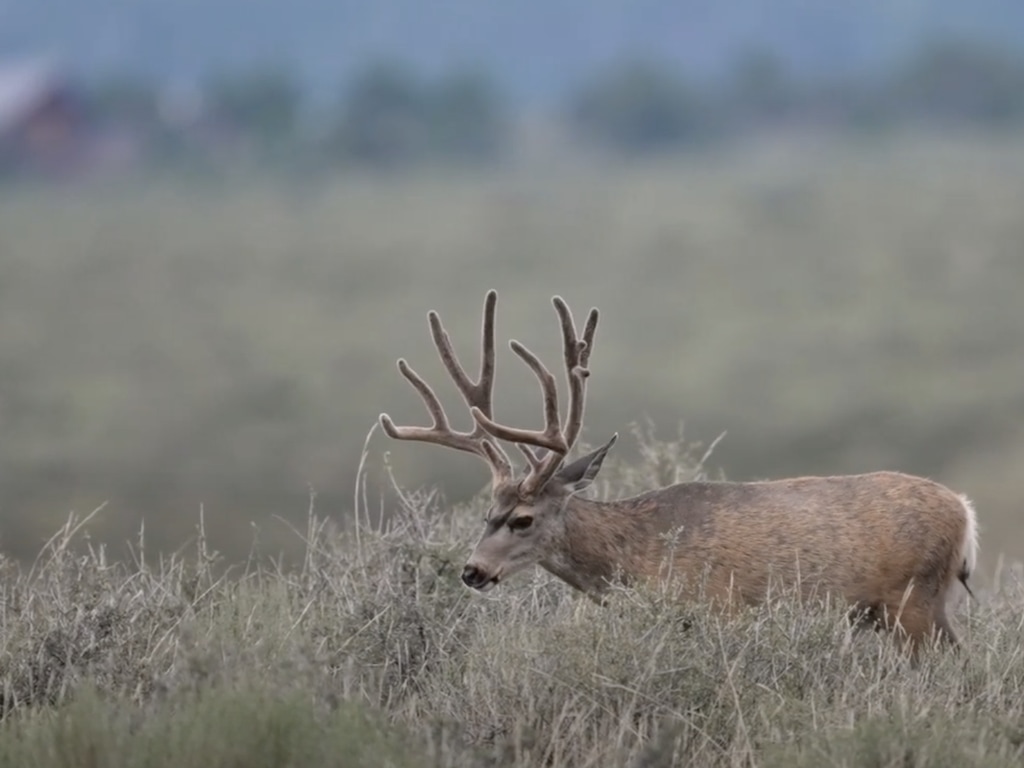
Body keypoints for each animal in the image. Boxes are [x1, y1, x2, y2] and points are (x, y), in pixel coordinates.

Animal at [379, 290, 980, 653]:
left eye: (523, 518)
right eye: (488, 512)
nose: (472, 571)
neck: (637, 551)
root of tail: (965, 510)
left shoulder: (718, 609)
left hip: (914, 600)